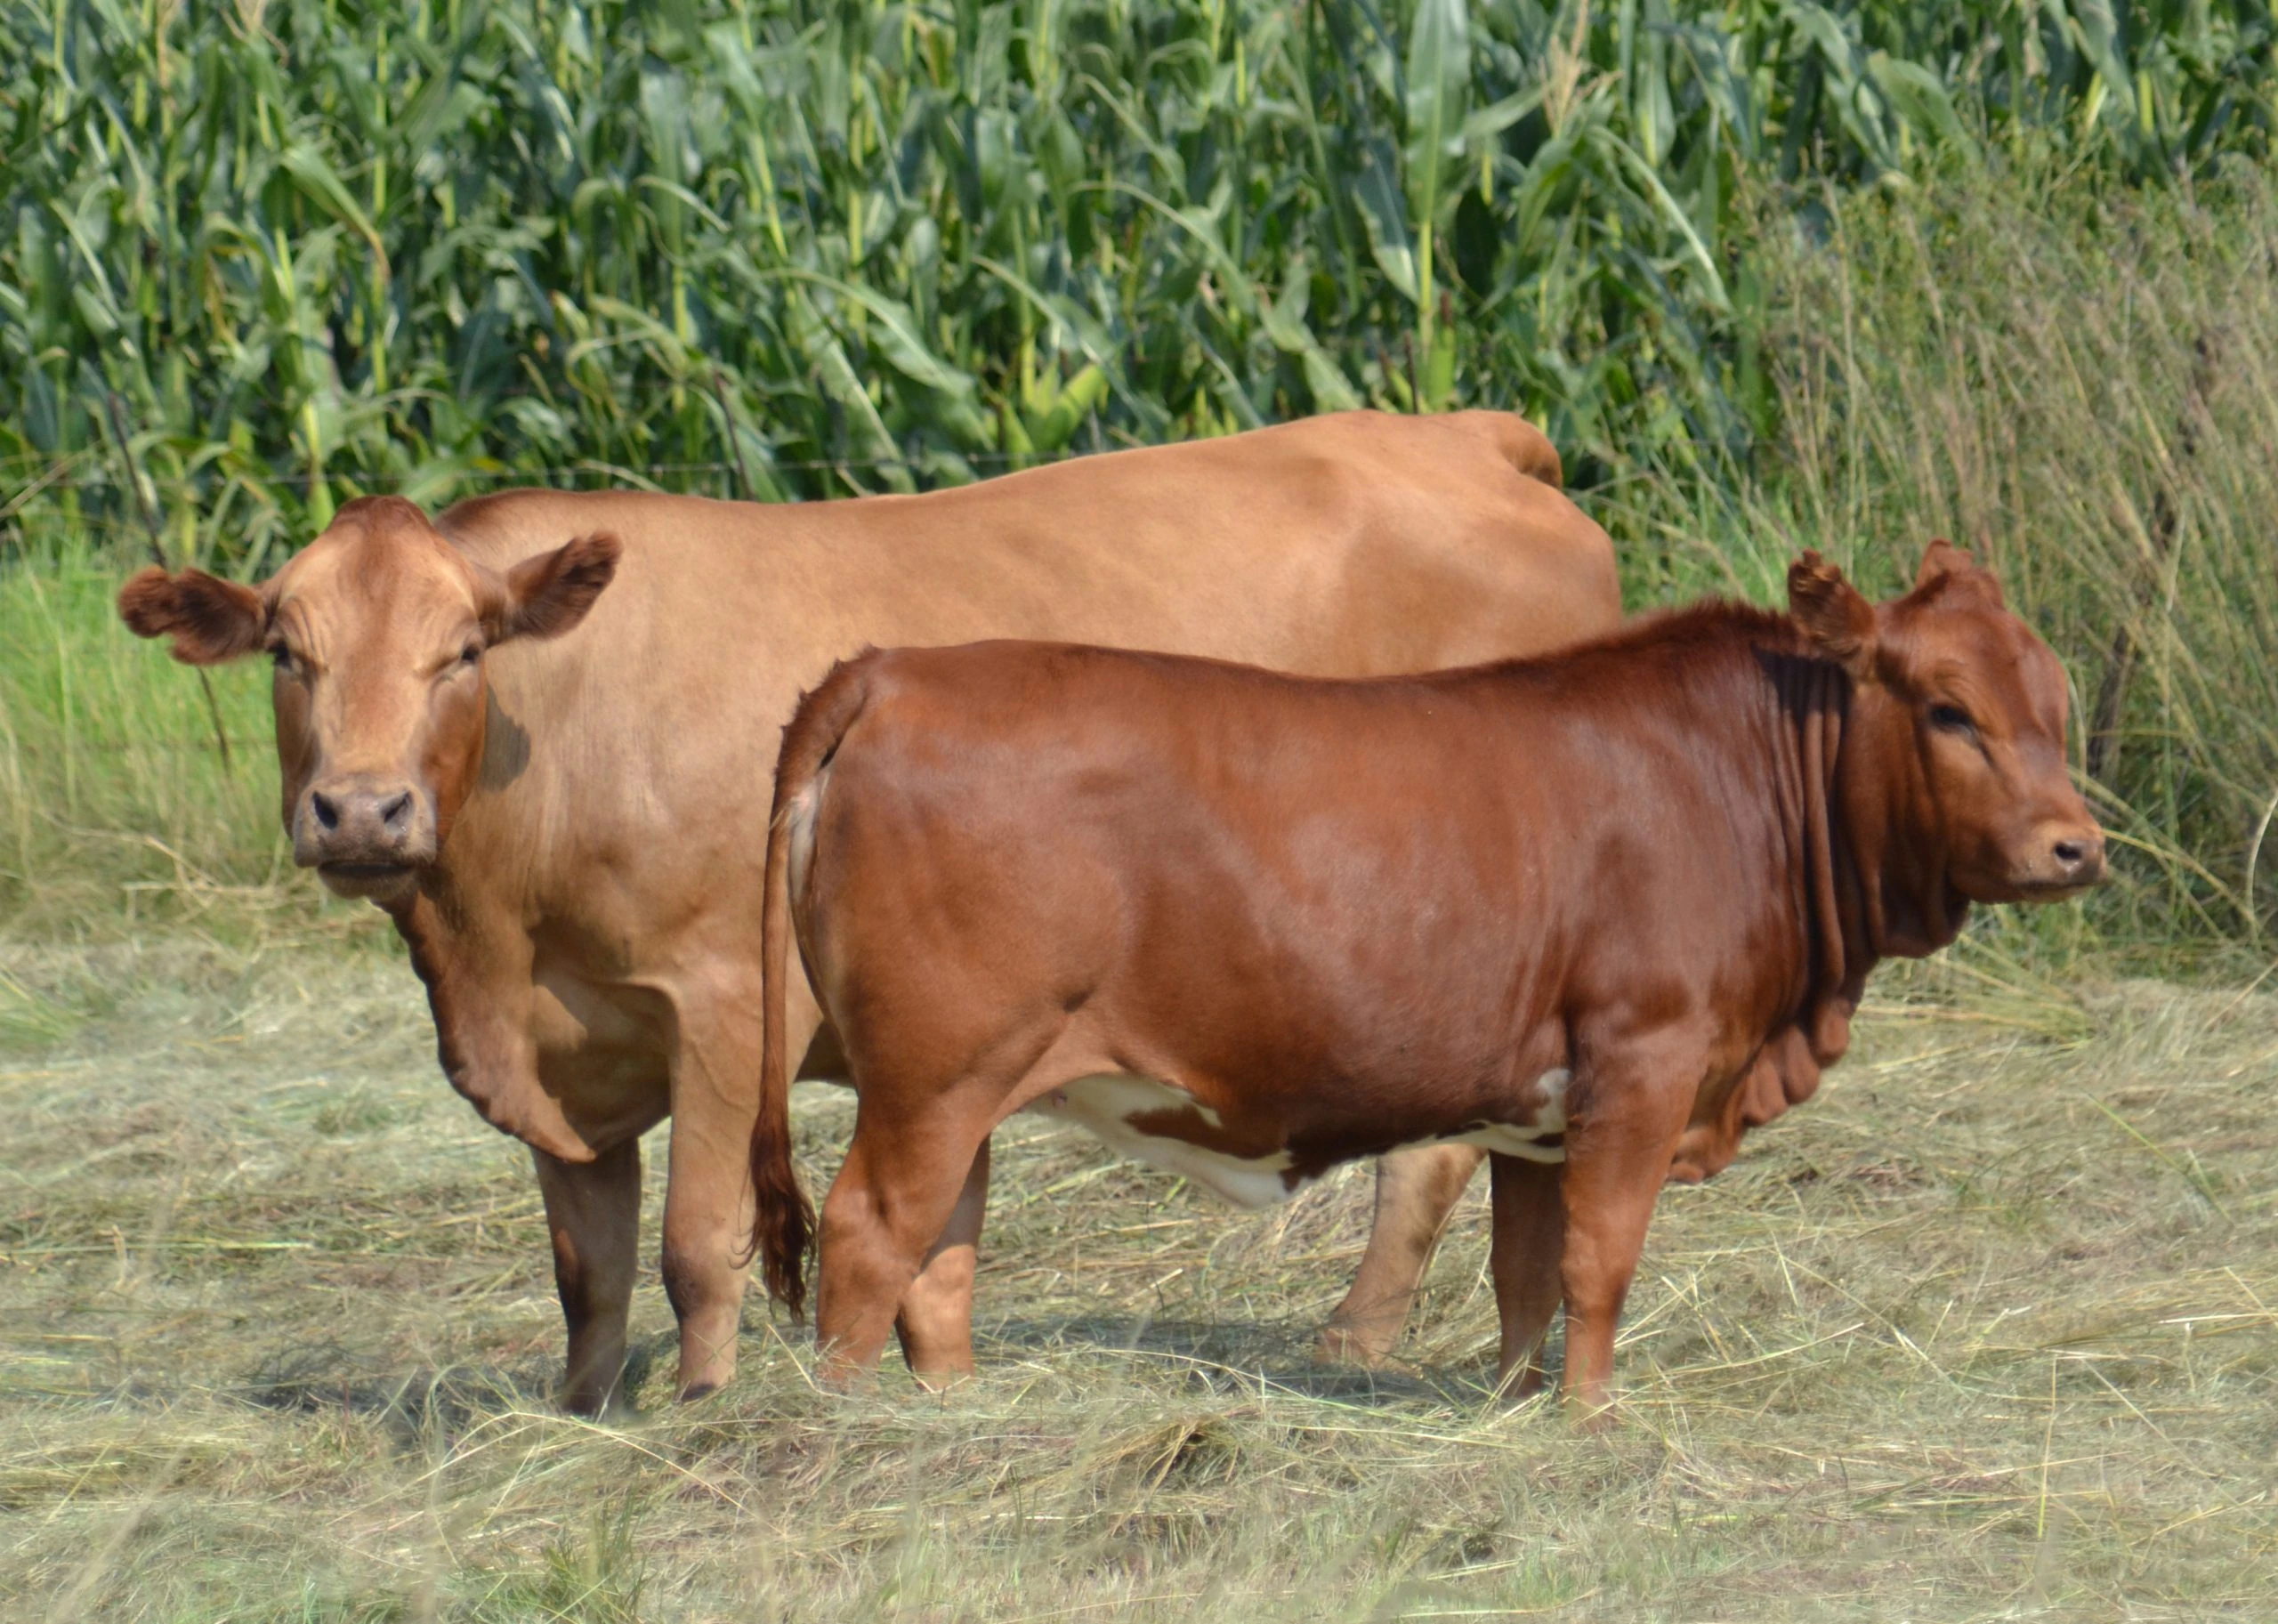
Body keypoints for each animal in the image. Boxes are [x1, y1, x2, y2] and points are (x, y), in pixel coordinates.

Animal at [115, 410, 1620, 1414]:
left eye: (462, 653)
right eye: (288, 654)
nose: (362, 812)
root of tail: (1456, 435)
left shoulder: (724, 1007)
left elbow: (697, 1251)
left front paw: (708, 1417)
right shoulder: (567, 1051)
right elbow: (590, 1270)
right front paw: (584, 1418)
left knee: (1437, 1156)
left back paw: (1356, 1338)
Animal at [753, 543, 2105, 1420]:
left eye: (2057, 700)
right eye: (1949, 710)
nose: (2076, 848)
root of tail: (891, 669)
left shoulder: (1540, 1118)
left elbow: (1528, 1276)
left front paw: (1515, 1411)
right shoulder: (1643, 1063)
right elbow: (1599, 1267)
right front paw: (1591, 1426)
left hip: (957, 1084)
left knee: (941, 1258)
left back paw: (955, 1414)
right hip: (937, 1074)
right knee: (871, 1238)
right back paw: (845, 1428)